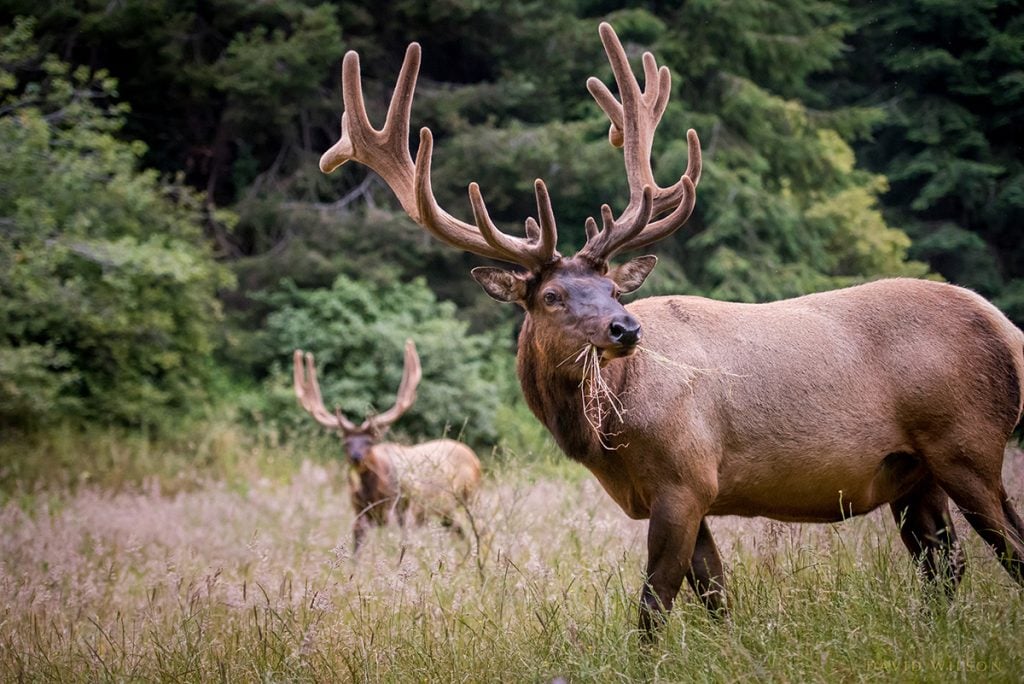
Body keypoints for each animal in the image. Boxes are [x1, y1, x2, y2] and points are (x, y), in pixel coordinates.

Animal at [293, 339, 482, 551]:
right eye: (345, 443)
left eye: (370, 441)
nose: (356, 457)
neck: (373, 492)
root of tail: (472, 456)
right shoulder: (359, 513)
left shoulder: (402, 510)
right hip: (445, 513)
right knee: (462, 534)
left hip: (470, 498)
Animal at [317, 22, 1024, 636]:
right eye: (551, 295)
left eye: (611, 289)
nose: (626, 329)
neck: (610, 439)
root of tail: (1006, 327)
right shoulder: (688, 493)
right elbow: (715, 595)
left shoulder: (686, 478)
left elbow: (655, 604)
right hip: (913, 473)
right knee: (947, 565)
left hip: (967, 442)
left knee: (1006, 547)